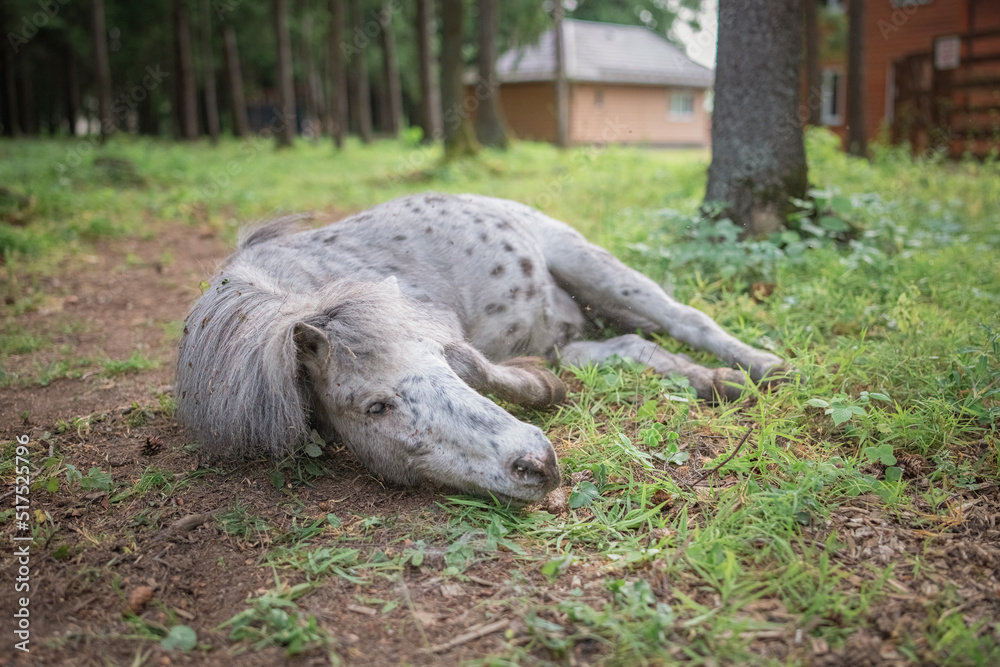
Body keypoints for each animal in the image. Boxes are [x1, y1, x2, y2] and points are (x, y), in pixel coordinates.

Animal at [176, 193, 784, 504]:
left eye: (441, 364)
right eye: (375, 407)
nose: (539, 464)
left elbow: (488, 371)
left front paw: (540, 389)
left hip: (596, 268)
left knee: (685, 318)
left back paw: (763, 368)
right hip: (572, 340)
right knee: (637, 346)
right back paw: (716, 382)